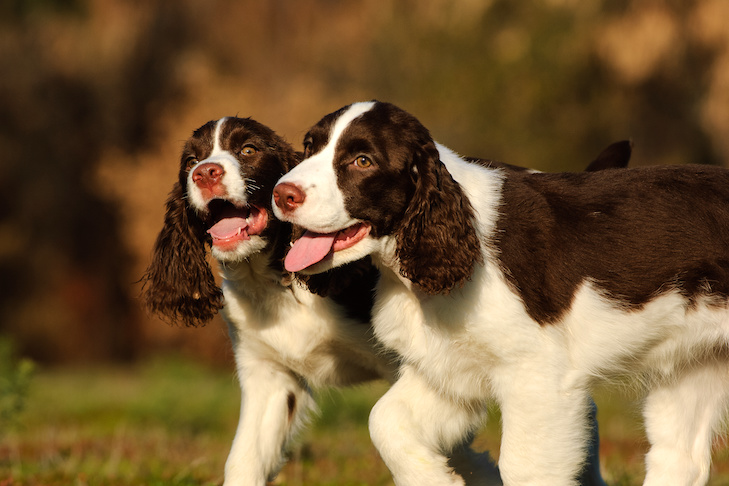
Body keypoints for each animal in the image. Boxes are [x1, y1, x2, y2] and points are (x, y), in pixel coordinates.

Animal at [272, 99, 728, 486]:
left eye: (362, 161)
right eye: (309, 147)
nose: (282, 194)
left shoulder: (538, 377)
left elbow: (523, 468)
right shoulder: (450, 369)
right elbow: (385, 421)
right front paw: (440, 480)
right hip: (693, 369)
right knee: (679, 458)